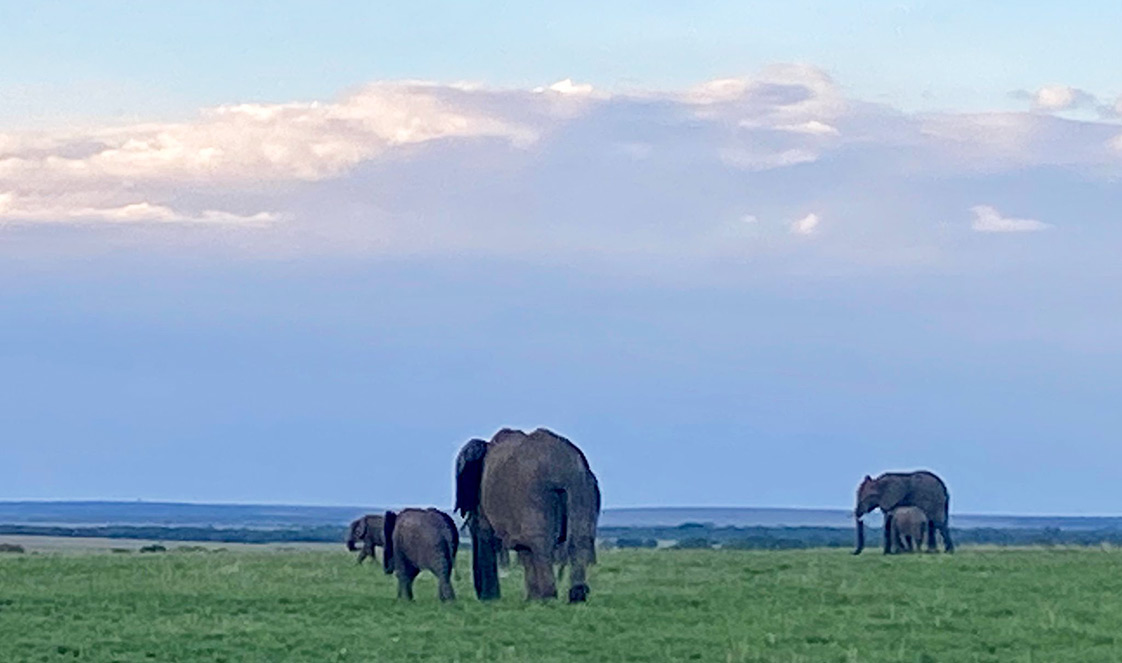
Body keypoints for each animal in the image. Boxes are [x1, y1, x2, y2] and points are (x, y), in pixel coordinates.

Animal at [455, 427, 600, 602]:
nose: (482, 597)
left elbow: (487, 534)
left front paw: (492, 600)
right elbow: (523, 548)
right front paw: (531, 600)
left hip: (533, 494)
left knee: (540, 542)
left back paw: (549, 597)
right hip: (582, 488)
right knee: (580, 539)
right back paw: (577, 596)